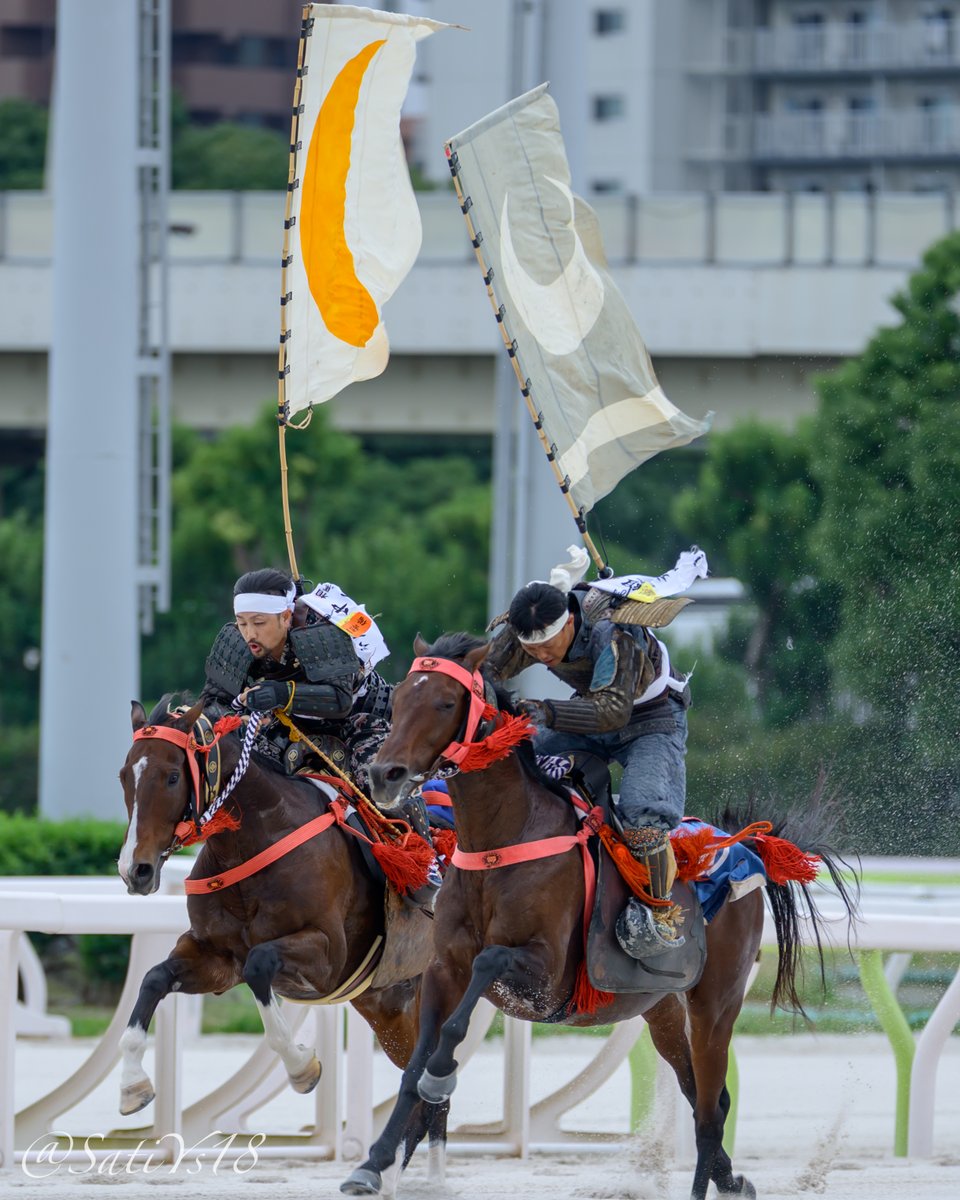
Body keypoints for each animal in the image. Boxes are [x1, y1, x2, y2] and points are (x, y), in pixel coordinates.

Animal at [117, 696, 447, 1176]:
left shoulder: (328, 956)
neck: (256, 838)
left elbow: (261, 965)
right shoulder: (217, 958)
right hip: (388, 1006)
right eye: (124, 775)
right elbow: (155, 979)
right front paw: (131, 1085)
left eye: (173, 776)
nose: (135, 870)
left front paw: (301, 1067)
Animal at [340, 633, 858, 1200]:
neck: (501, 842)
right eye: (398, 699)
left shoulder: (545, 977)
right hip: (661, 1008)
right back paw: (732, 1179)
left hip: (715, 1003)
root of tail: (747, 845)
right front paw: (372, 1163)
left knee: (707, 1111)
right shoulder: (441, 969)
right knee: (704, 1096)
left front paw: (440, 1076)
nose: (383, 773)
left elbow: (482, 975)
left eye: (444, 702)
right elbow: (414, 1063)